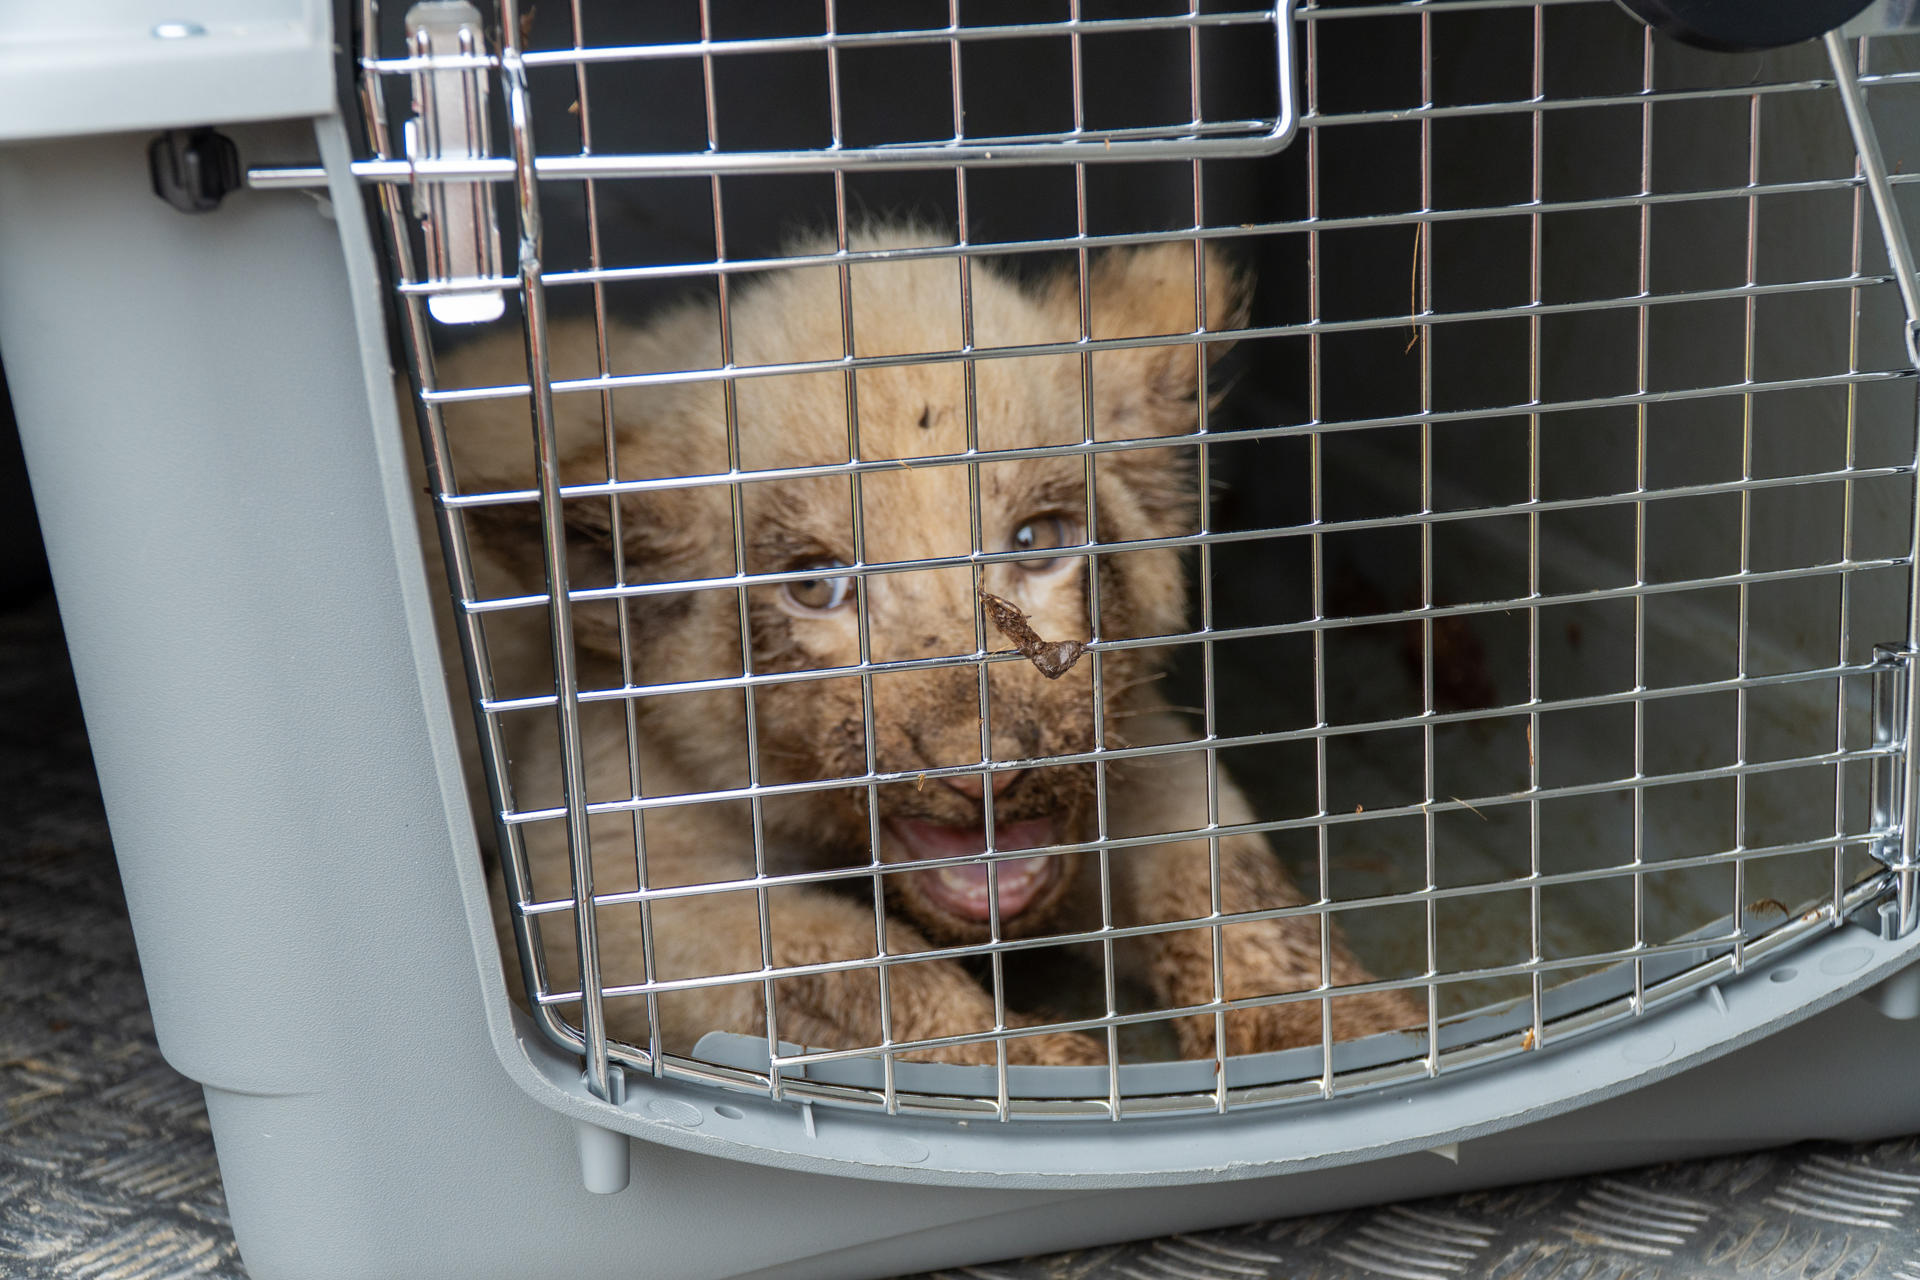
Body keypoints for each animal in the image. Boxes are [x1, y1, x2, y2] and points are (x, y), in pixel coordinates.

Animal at [430, 227, 1418, 1068]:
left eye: (1038, 541)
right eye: (815, 587)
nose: (986, 777)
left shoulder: (1143, 752)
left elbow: (1230, 885)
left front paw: (1346, 1035)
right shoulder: (610, 880)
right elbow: (856, 968)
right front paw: (1045, 1076)